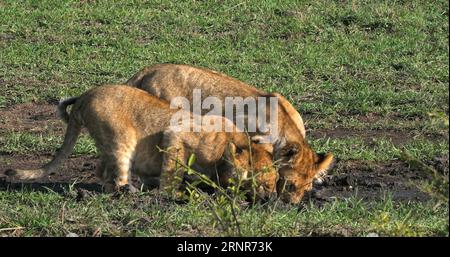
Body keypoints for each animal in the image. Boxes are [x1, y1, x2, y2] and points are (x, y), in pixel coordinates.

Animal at [5, 85, 276, 199]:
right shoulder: (175, 133)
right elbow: (172, 170)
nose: (272, 197)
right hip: (121, 138)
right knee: (116, 175)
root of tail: (84, 96)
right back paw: (129, 191)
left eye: (274, 183)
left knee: (102, 171)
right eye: (264, 181)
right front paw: (172, 193)